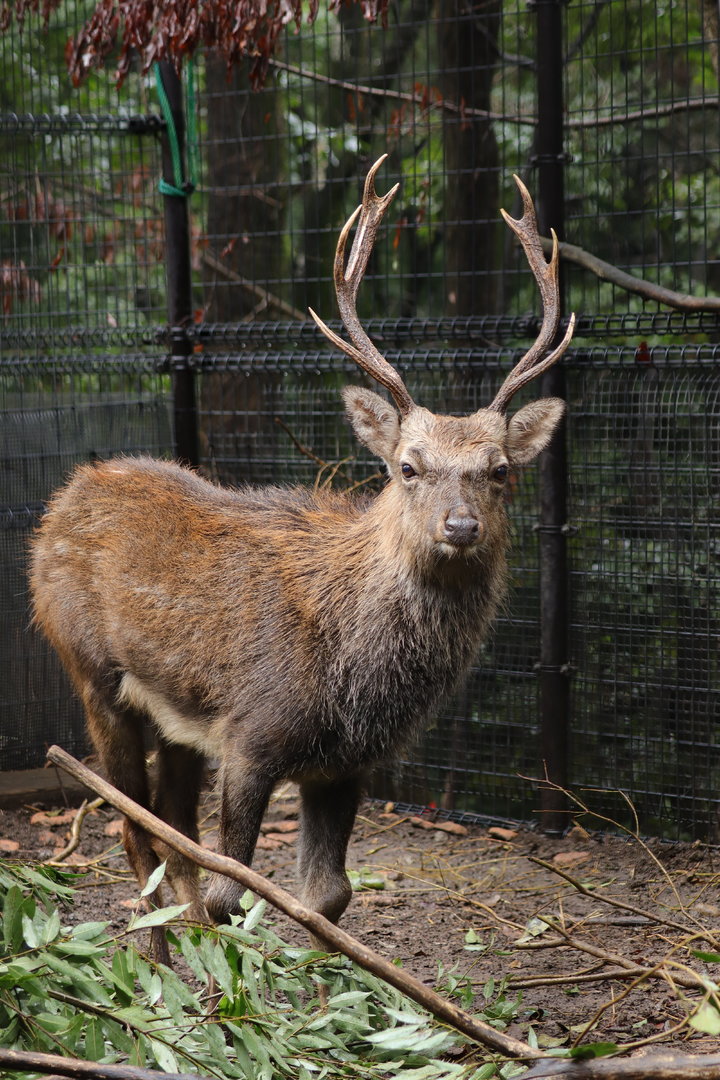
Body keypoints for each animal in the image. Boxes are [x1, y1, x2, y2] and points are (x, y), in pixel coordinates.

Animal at [29, 157, 574, 965]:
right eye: (408, 467)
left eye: (500, 468)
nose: (461, 525)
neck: (356, 677)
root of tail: (62, 500)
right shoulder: (253, 733)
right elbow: (232, 893)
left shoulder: (347, 762)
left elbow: (328, 896)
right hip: (91, 669)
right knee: (134, 830)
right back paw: (155, 966)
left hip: (177, 715)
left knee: (173, 828)